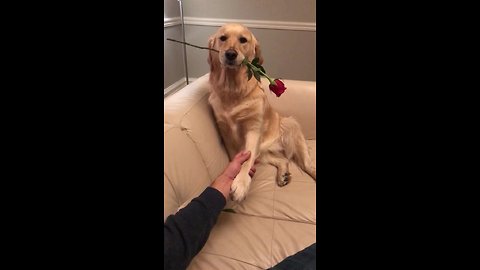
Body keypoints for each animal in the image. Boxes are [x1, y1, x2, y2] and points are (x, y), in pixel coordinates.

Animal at [206, 23, 316, 202]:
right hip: (264, 152)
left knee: (308, 164)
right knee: (282, 159)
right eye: (222, 38)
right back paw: (283, 174)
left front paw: (241, 183)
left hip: (290, 126)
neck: (233, 88)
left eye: (243, 40)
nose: (230, 54)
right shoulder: (225, 131)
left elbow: (247, 158)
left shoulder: (253, 129)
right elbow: (235, 156)